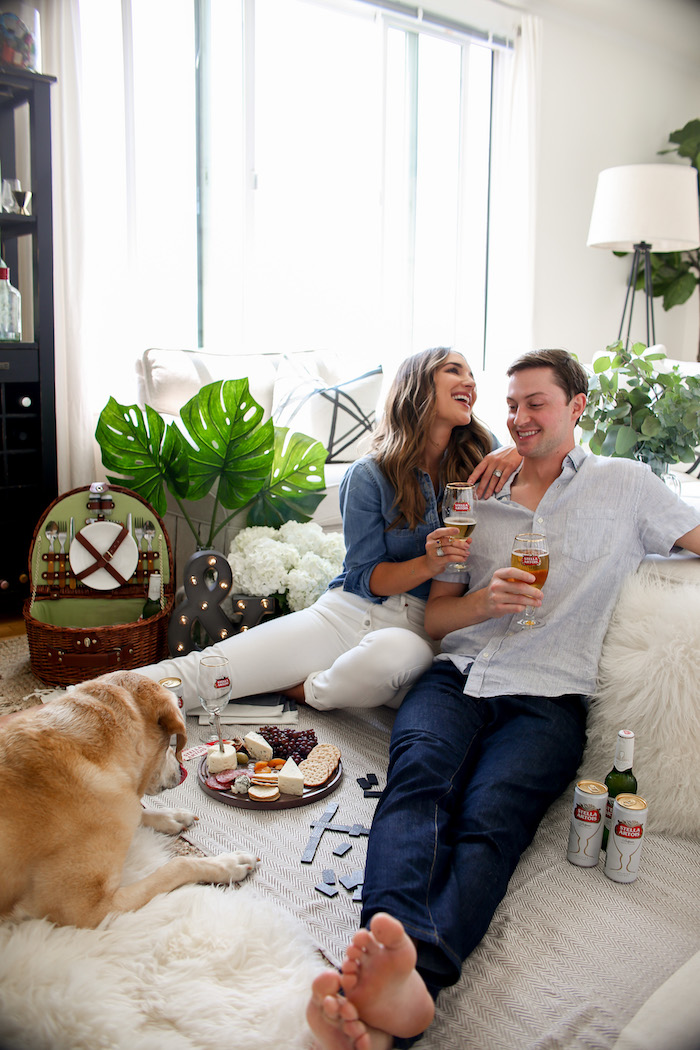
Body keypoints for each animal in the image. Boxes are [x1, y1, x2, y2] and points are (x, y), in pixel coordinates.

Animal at [0, 672, 257, 928]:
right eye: (168, 746)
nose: (180, 771)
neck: (97, 754)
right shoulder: (88, 909)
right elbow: (177, 866)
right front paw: (226, 864)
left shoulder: (124, 807)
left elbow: (138, 813)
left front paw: (169, 816)